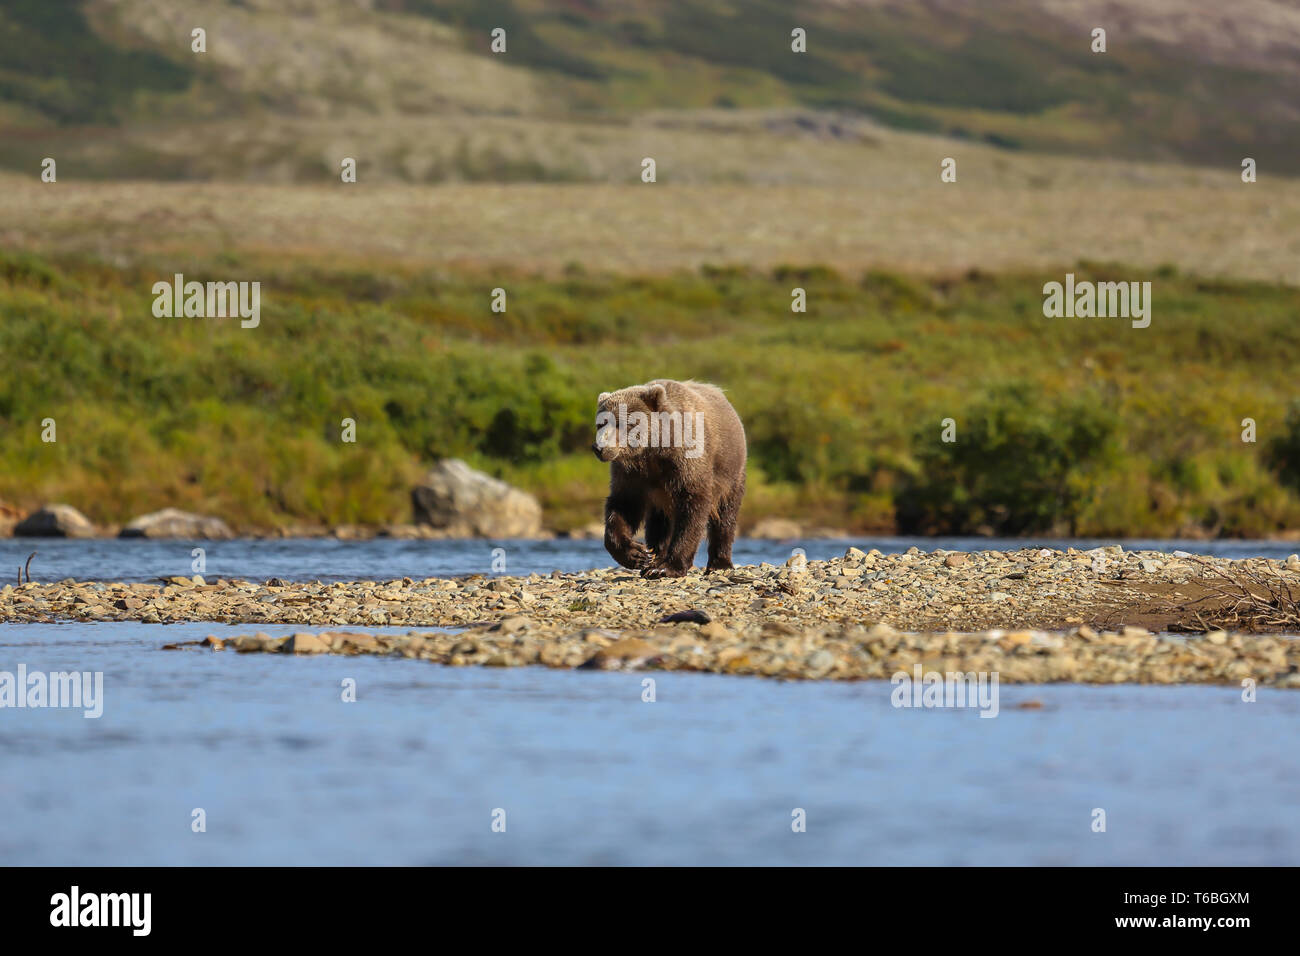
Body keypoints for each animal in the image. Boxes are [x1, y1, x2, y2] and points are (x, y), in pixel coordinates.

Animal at [595, 379, 748, 574]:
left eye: (622, 423)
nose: (599, 448)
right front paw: (637, 554)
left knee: (726, 514)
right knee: (659, 521)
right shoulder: (632, 472)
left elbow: (693, 506)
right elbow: (623, 505)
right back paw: (655, 554)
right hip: (661, 496)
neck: (653, 450)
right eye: (600, 424)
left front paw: (667, 567)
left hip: (730, 471)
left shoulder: (685, 460)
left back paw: (719, 563)